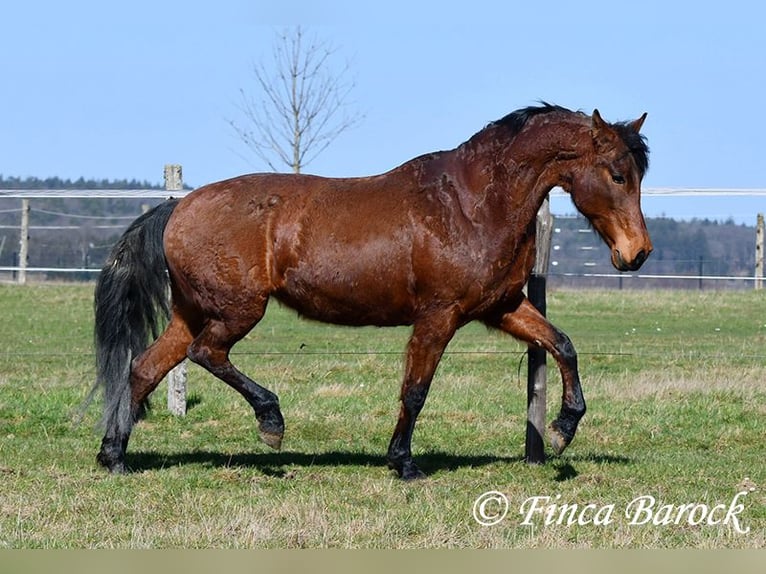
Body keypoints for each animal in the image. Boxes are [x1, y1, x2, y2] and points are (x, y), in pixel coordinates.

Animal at [92, 104, 651, 479]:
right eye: (617, 174)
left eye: (638, 174)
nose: (637, 253)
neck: (472, 205)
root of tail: (178, 208)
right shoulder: (439, 316)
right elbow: (416, 390)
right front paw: (403, 463)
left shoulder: (503, 308)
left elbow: (562, 345)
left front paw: (562, 428)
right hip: (237, 311)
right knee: (207, 353)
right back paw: (271, 422)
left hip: (192, 311)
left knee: (144, 368)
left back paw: (114, 457)